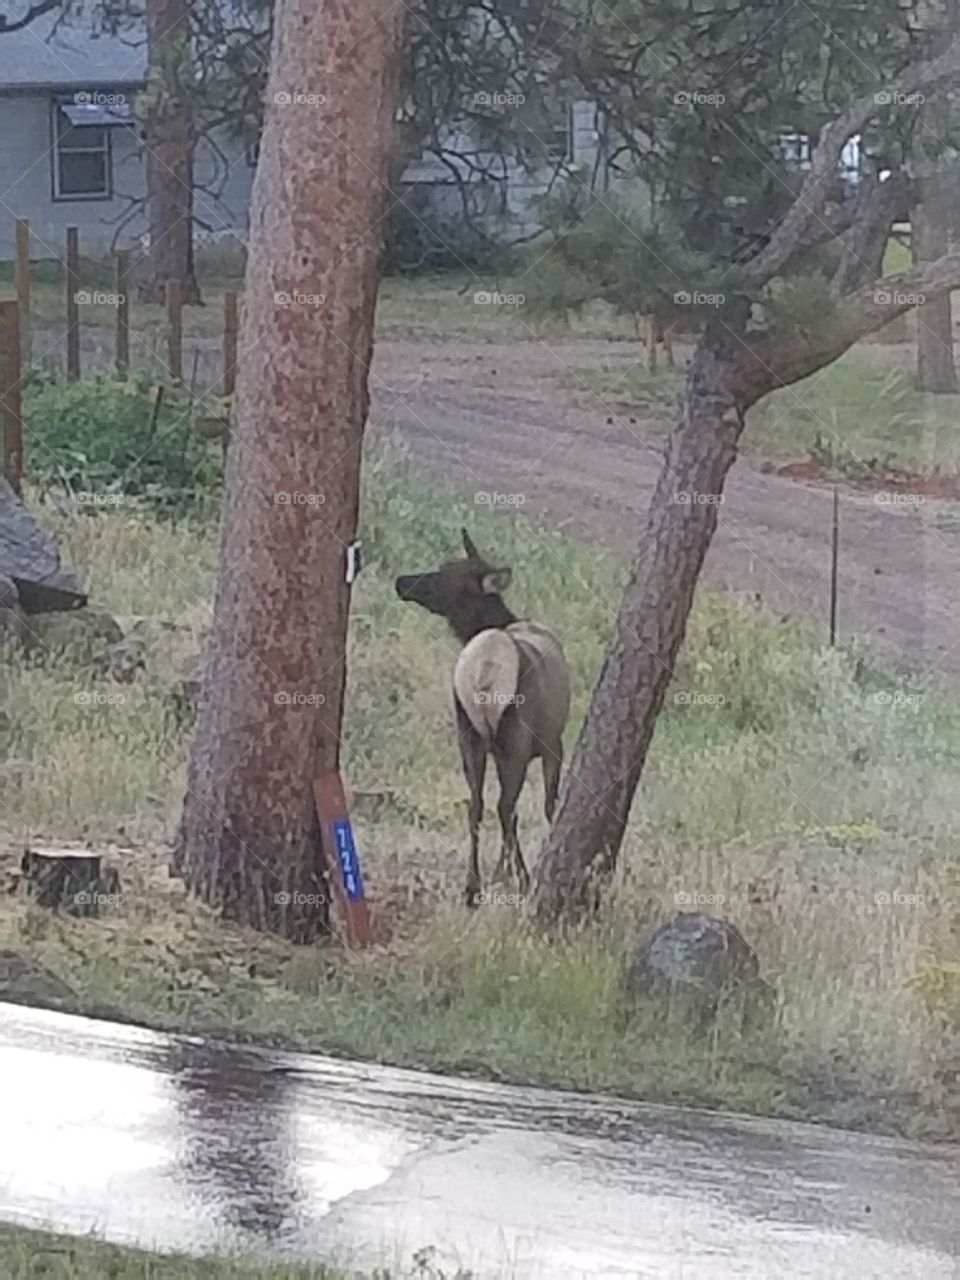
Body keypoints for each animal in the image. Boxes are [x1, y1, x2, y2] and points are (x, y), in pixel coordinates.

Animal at [396, 530, 571, 907]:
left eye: (445, 573)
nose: (401, 581)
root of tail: (484, 673)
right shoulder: (553, 743)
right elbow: (549, 805)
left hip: (469, 734)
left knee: (477, 805)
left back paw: (473, 888)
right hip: (514, 738)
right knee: (506, 807)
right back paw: (520, 878)